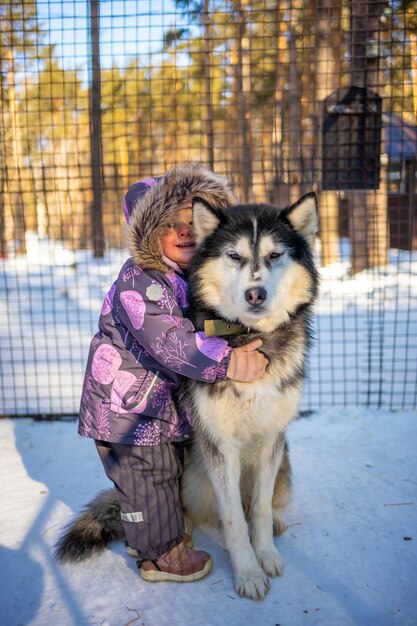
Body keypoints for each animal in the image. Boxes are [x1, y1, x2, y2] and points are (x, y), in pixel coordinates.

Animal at [54, 193, 316, 596]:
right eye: (234, 256)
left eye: (275, 255)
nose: (255, 293)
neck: (250, 336)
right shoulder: (218, 444)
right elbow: (234, 519)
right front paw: (248, 573)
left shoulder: (272, 436)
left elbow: (256, 509)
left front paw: (266, 554)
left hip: (284, 465)